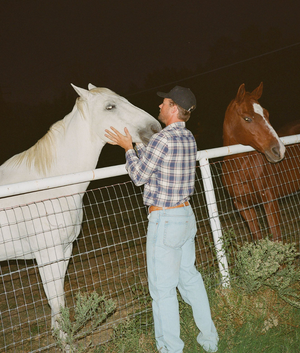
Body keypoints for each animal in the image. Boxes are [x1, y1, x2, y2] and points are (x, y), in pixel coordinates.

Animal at [0, 84, 162, 334]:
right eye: (110, 106)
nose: (154, 128)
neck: (48, 184)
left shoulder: (64, 251)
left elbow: (59, 304)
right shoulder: (47, 255)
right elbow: (56, 303)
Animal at [221, 82, 300, 241]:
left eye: (267, 114)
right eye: (246, 118)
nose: (279, 150)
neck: (241, 170)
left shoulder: (270, 200)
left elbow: (276, 238)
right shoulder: (243, 206)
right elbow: (257, 237)